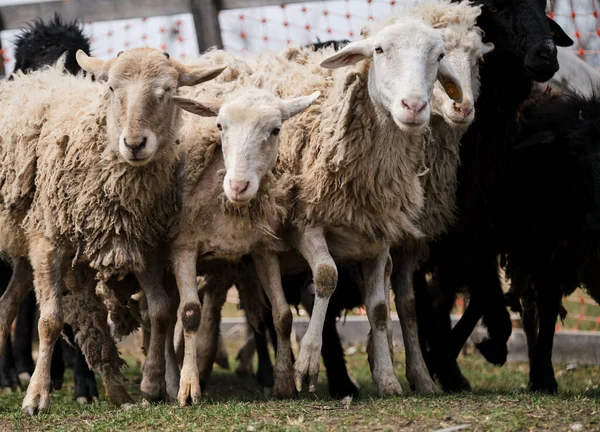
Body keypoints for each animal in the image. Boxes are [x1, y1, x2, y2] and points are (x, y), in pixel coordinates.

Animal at [0, 47, 225, 416]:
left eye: (167, 91)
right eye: (111, 88)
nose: (134, 144)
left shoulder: (143, 245)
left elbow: (160, 310)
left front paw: (152, 385)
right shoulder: (48, 242)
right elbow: (50, 321)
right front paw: (36, 396)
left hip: (24, 247)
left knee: (6, 304)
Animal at [414, 0, 576, 392]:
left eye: (543, 6)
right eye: (500, 10)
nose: (546, 54)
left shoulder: (480, 225)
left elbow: (478, 299)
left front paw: (461, 357)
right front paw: (469, 354)